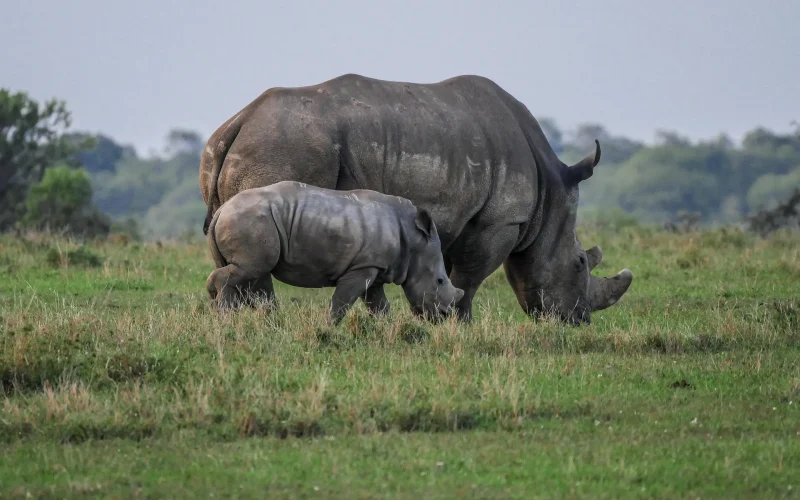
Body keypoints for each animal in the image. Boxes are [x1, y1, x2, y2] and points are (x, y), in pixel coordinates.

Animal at [205, 180, 465, 324]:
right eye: (440, 281)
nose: (444, 317)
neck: (413, 239)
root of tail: (221, 210)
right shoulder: (362, 267)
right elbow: (342, 302)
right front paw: (327, 329)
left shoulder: (373, 267)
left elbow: (380, 307)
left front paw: (391, 331)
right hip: (250, 220)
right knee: (252, 269)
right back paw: (226, 318)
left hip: (246, 219)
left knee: (250, 274)